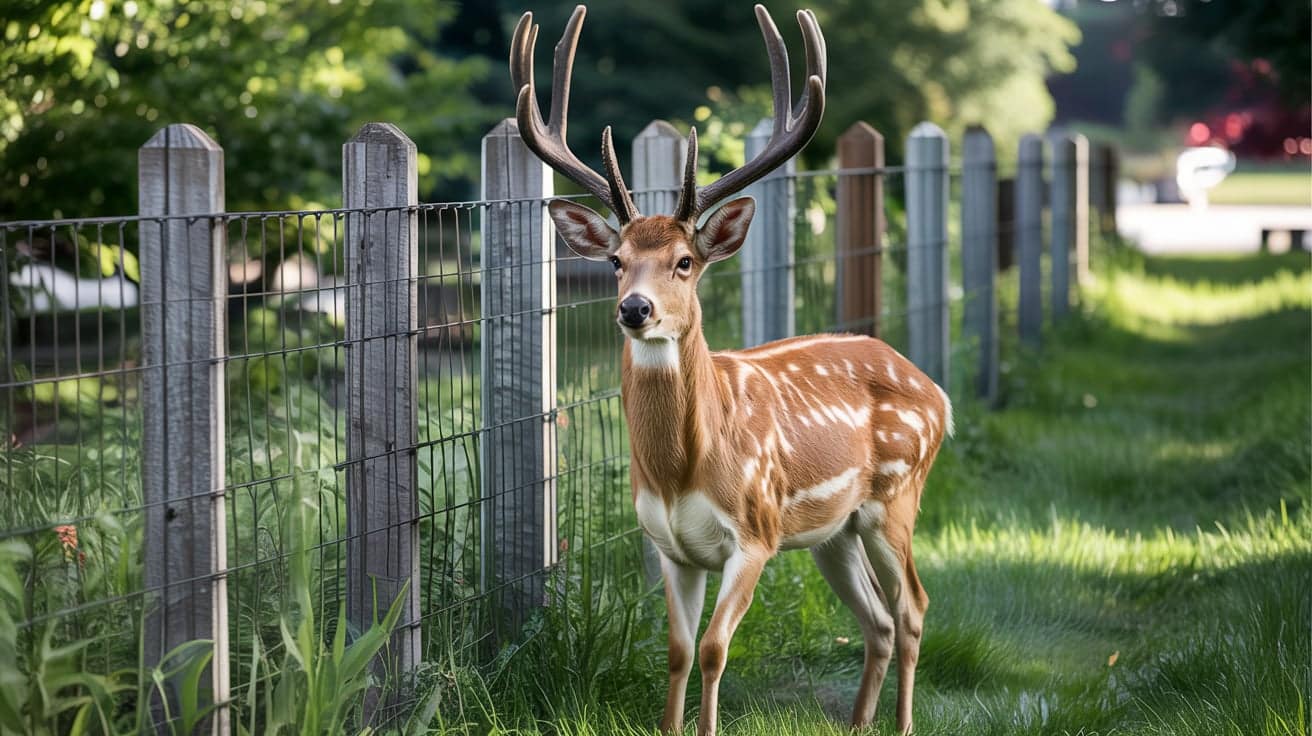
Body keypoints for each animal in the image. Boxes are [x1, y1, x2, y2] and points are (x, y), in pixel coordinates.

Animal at [509, 5, 951, 735]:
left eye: (685, 261)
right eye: (616, 261)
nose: (634, 308)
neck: (684, 466)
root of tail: (936, 390)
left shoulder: (756, 531)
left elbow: (716, 649)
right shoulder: (669, 547)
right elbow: (678, 650)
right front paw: (670, 723)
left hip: (897, 495)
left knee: (913, 607)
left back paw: (903, 723)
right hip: (835, 530)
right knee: (879, 620)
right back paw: (859, 722)